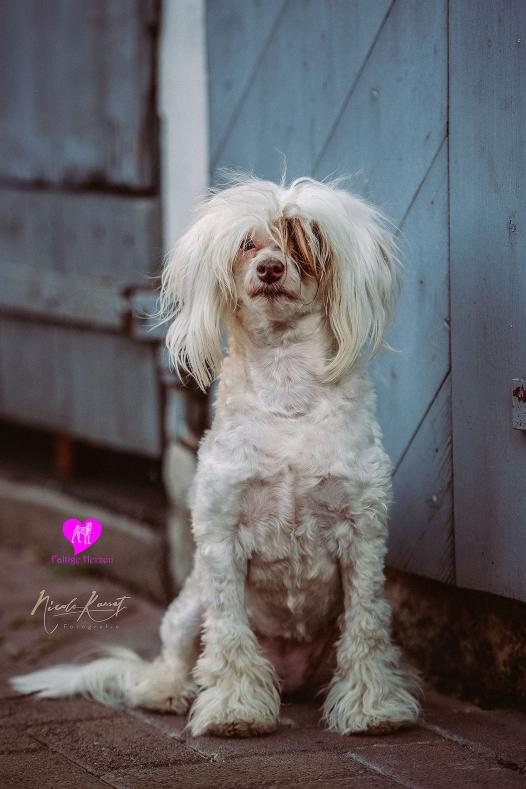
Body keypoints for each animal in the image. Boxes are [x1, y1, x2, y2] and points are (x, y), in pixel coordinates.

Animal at [12, 176, 420, 737]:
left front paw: (372, 709)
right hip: (187, 607)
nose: (270, 268)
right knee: (171, 657)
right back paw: (168, 692)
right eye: (248, 244)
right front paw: (235, 710)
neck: (286, 390)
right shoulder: (222, 535)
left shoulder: (362, 536)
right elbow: (227, 633)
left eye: (303, 240)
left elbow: (365, 629)